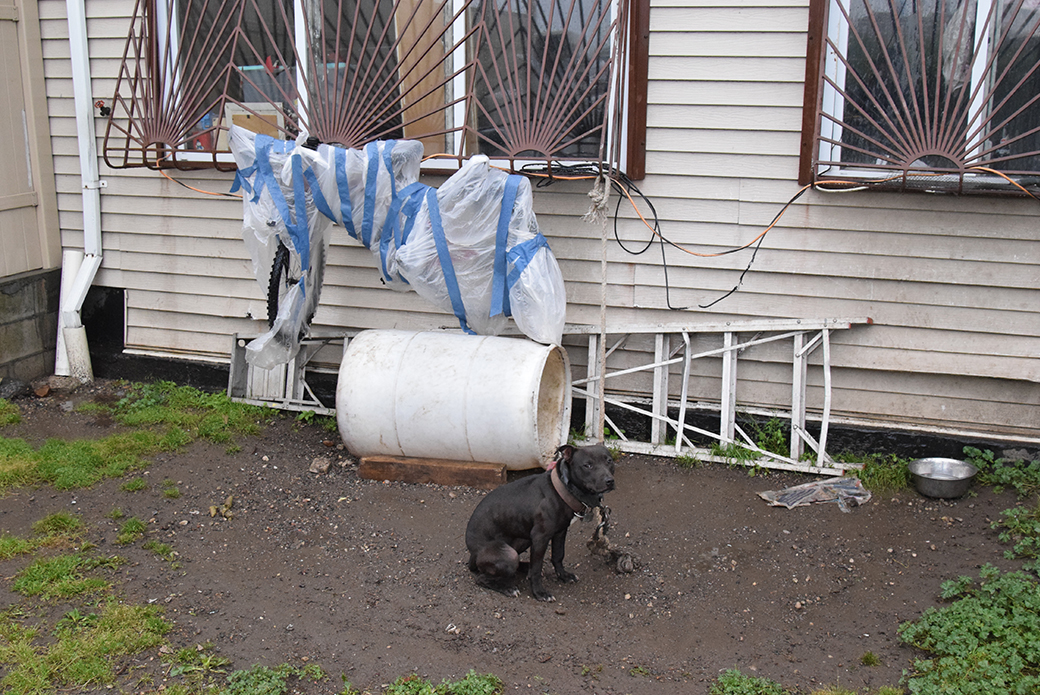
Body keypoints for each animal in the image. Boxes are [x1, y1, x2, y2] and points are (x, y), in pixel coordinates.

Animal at [465, 445, 615, 603]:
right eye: (587, 465)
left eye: (609, 461)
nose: (609, 481)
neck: (562, 488)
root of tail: (473, 556)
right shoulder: (540, 537)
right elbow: (537, 569)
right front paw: (539, 593)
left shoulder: (560, 532)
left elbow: (558, 556)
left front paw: (563, 576)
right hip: (508, 555)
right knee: (482, 578)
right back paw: (508, 588)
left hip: (524, 540)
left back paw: (525, 567)